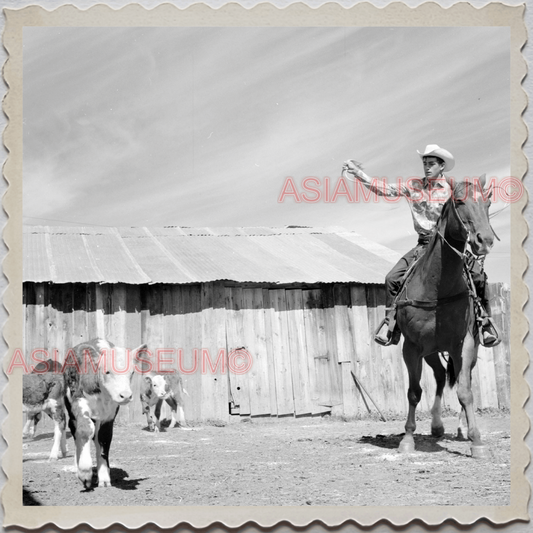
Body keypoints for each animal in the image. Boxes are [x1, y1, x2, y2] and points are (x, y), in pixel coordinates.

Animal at [63, 338, 147, 488]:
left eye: (131, 373)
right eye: (107, 372)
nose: (125, 395)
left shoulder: (109, 416)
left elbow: (104, 438)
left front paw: (104, 478)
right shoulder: (78, 401)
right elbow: (84, 430)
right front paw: (84, 472)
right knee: (76, 431)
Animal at [394, 175, 494, 458]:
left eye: (488, 203)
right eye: (459, 201)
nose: (485, 240)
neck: (437, 288)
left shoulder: (465, 344)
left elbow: (465, 392)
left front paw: (476, 441)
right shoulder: (412, 347)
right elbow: (414, 392)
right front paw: (407, 438)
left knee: (461, 378)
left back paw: (460, 429)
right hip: (429, 351)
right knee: (439, 377)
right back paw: (437, 426)